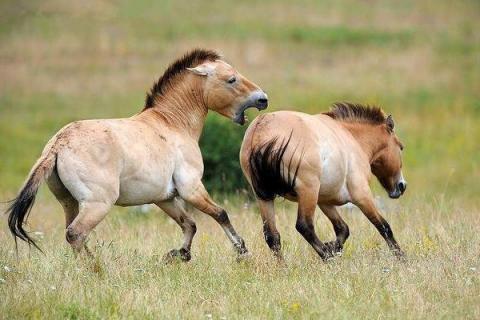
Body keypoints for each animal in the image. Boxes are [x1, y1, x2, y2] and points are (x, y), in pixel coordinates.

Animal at [7, 48, 268, 262]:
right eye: (231, 79)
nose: (262, 99)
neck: (172, 124)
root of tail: (58, 145)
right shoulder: (191, 188)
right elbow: (220, 214)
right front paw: (242, 251)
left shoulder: (164, 197)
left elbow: (189, 224)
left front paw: (179, 255)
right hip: (97, 204)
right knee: (76, 233)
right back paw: (96, 269)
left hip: (69, 202)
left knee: (72, 234)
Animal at [240, 102, 404, 260]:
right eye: (401, 147)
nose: (402, 186)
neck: (353, 139)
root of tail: (261, 130)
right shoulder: (361, 195)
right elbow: (384, 227)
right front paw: (402, 258)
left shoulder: (325, 201)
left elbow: (342, 229)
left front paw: (334, 247)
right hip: (308, 192)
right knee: (304, 226)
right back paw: (326, 257)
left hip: (264, 197)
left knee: (272, 236)